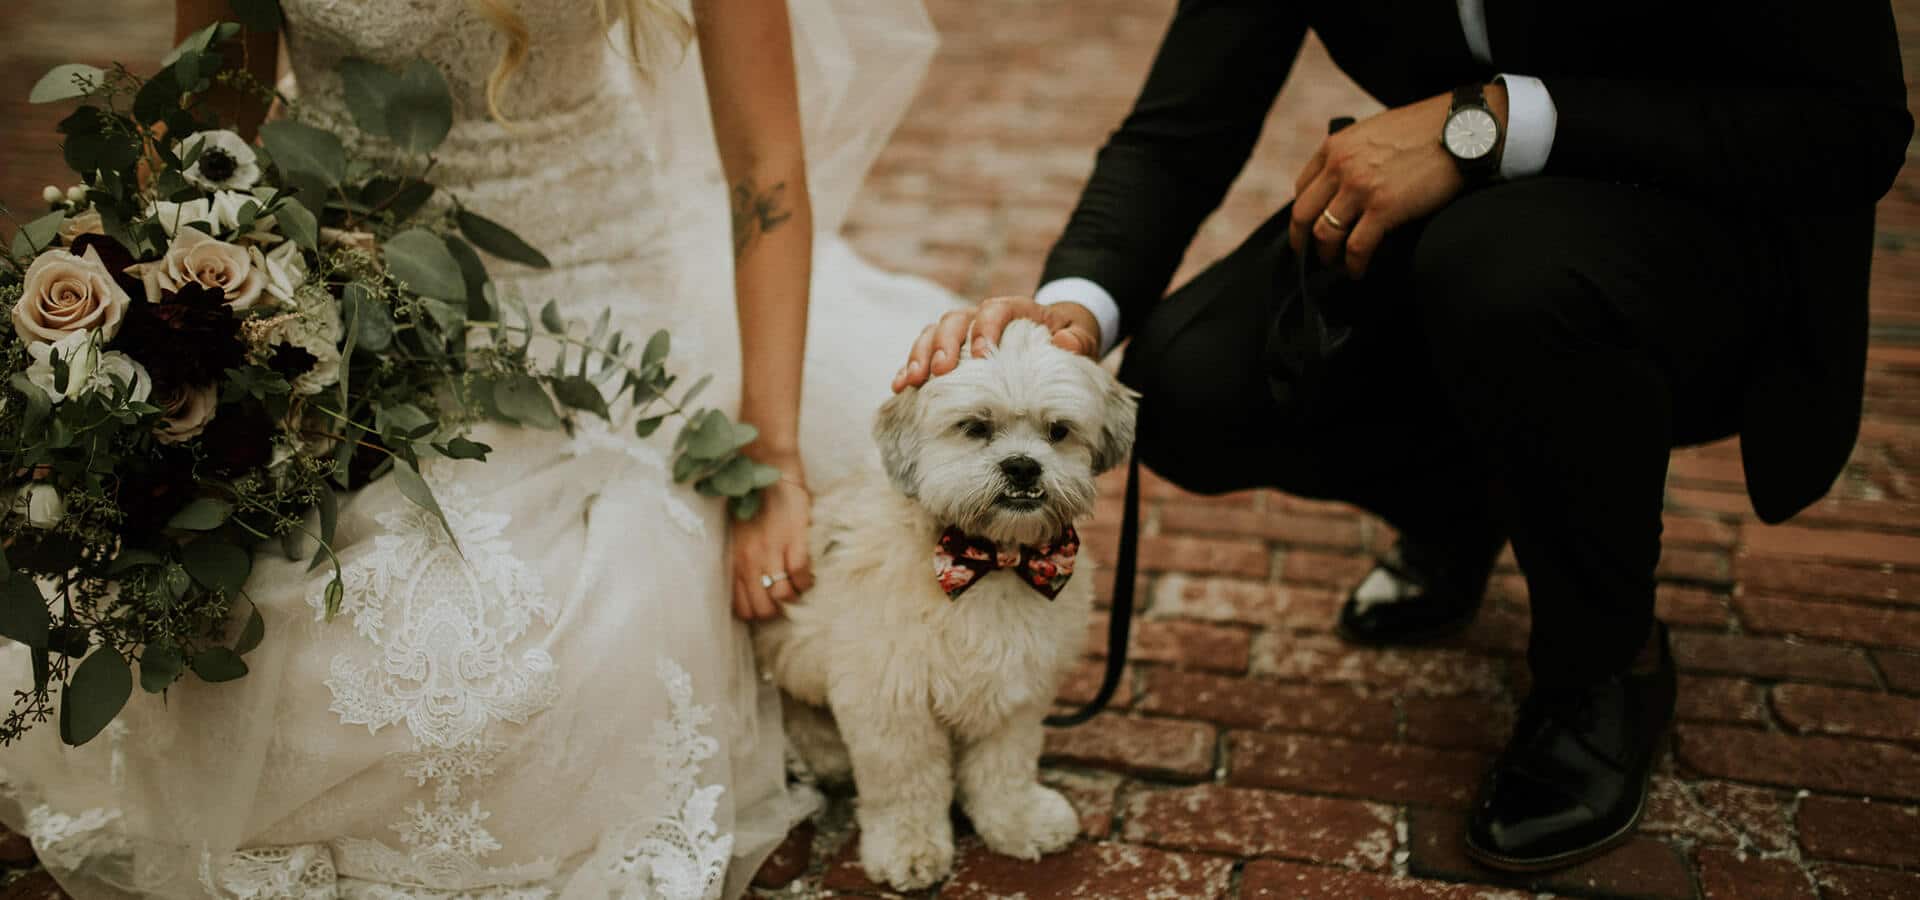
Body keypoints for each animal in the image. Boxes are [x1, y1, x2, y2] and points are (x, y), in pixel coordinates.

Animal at [752, 318, 1136, 886]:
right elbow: (906, 783)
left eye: (1058, 431)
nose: (1023, 467)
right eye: (975, 428)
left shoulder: (1019, 687)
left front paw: (1018, 821)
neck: (993, 560)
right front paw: (909, 848)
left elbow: (1004, 766)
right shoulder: (891, 699)